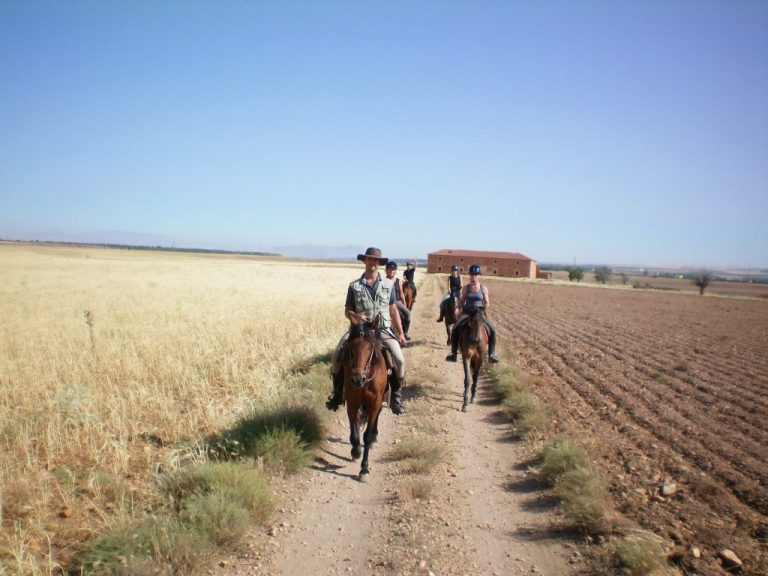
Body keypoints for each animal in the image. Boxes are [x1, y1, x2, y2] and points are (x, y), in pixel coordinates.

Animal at [342, 318, 390, 480]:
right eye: (351, 348)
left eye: (370, 349)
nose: (357, 379)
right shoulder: (352, 402)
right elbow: (354, 431)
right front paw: (356, 451)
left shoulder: (375, 403)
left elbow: (367, 436)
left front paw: (364, 469)